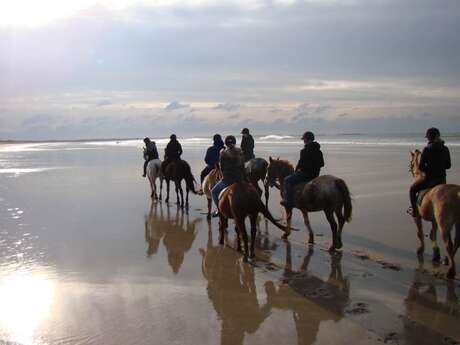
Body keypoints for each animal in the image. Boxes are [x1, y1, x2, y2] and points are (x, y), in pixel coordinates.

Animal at [410, 149, 460, 278]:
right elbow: (433, 234)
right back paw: (447, 260)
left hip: (444, 224)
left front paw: (421, 249)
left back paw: (450, 271)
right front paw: (436, 254)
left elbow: (420, 232)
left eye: (411, 162)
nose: (410, 169)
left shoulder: (417, 217)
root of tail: (457, 193)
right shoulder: (434, 220)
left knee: (449, 244)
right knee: (457, 241)